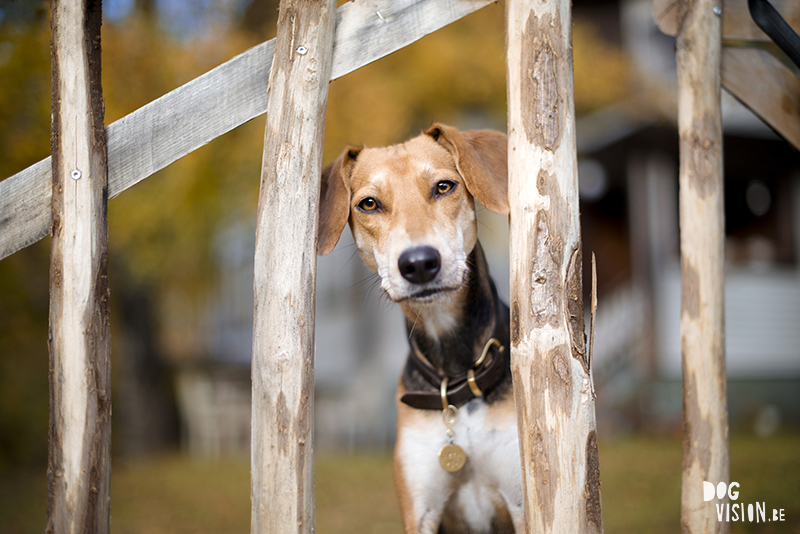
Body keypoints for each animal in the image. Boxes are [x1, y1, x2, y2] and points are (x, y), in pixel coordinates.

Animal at [318, 124, 524, 534]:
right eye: (368, 204)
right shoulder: (420, 508)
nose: (418, 264)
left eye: (444, 186)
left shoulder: (524, 499)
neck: (454, 379)